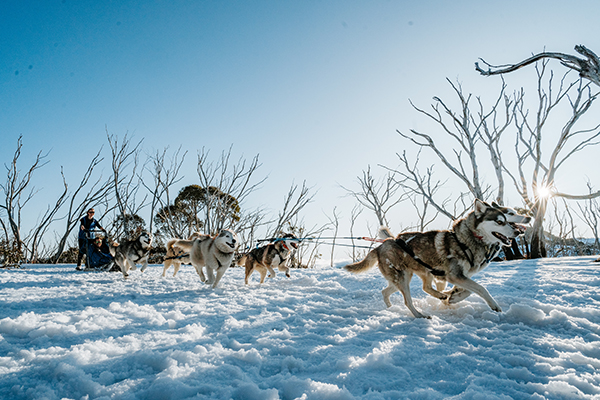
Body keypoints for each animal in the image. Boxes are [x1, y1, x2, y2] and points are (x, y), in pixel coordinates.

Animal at [346, 200, 524, 318]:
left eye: (507, 220)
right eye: (499, 222)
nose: (518, 232)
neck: (468, 239)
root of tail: (381, 245)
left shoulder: (459, 277)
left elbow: (467, 290)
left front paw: (453, 297)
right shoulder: (455, 276)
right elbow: (481, 288)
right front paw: (494, 305)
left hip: (413, 275)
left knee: (398, 290)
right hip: (403, 278)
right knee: (408, 300)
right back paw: (419, 315)